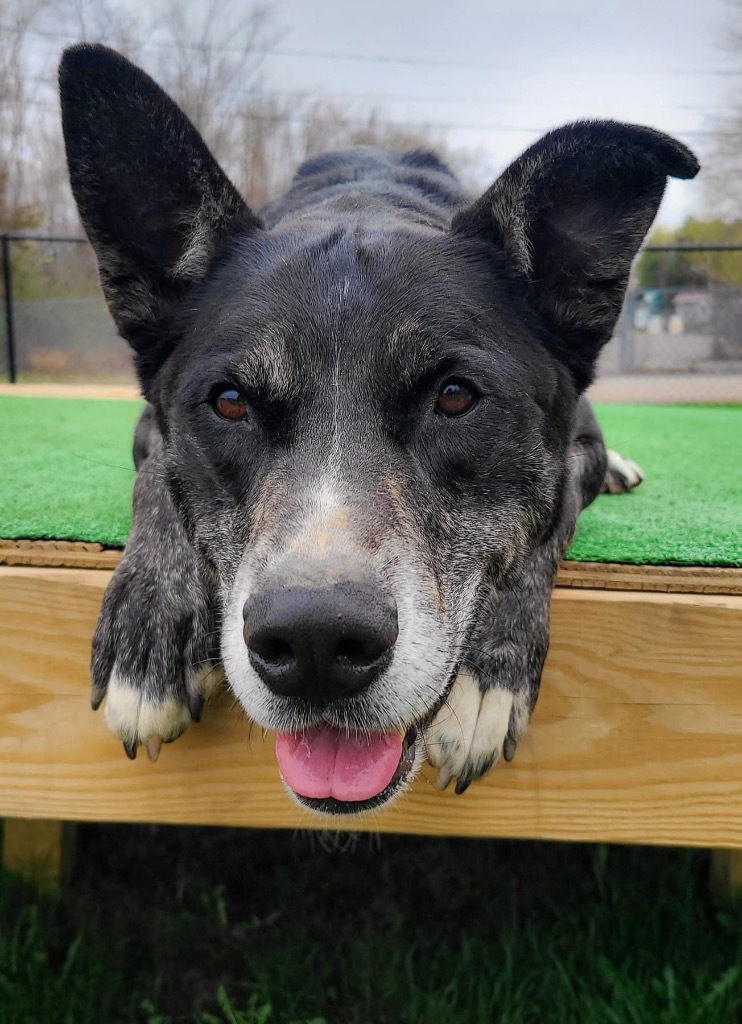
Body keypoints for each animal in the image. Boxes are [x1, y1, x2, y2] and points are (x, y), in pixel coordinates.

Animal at [57, 46, 695, 815]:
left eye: (455, 397)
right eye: (230, 402)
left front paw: (487, 678)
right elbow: (154, 484)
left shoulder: (579, 443)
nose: (314, 642)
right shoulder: (151, 424)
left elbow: (552, 515)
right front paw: (149, 628)